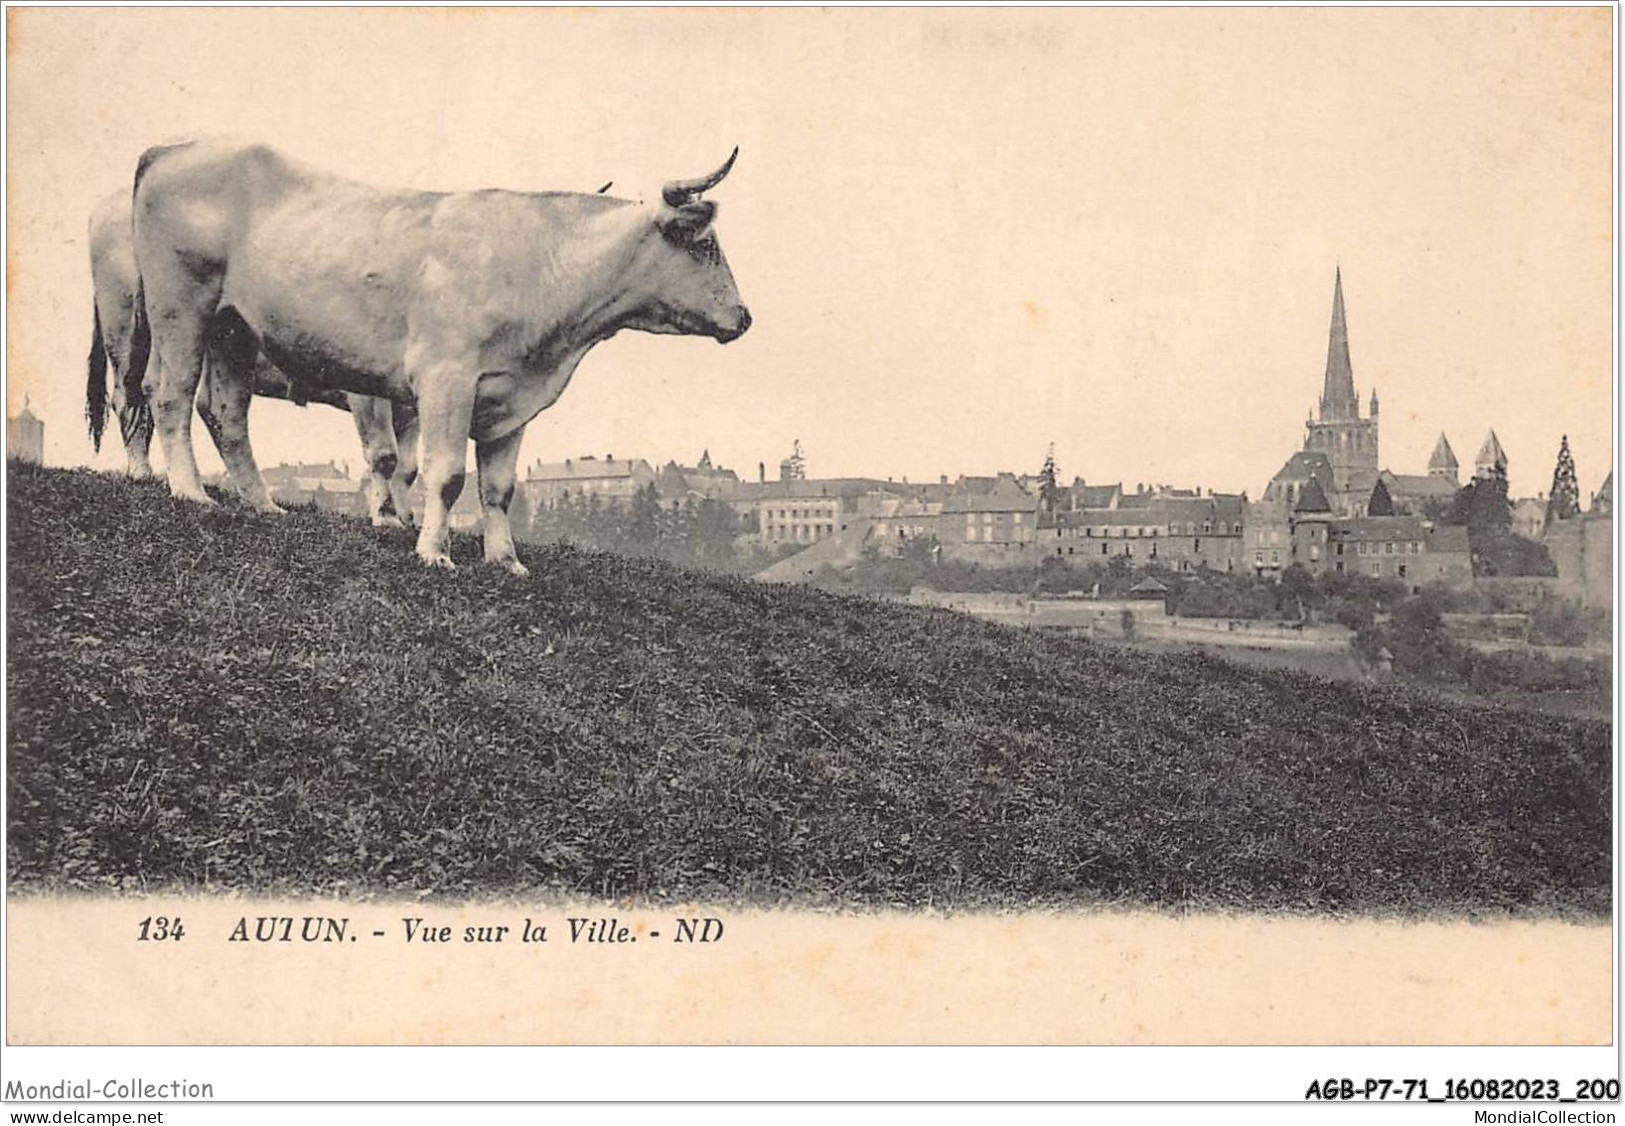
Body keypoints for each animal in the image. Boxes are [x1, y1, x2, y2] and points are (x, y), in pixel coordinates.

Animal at [126, 141, 747, 575]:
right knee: (171, 395)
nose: (744, 318)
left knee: (226, 414)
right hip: (181, 305)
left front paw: (506, 561)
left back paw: (262, 506)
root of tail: (174, 148)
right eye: (704, 245)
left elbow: (497, 488)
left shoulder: (510, 398)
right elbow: (445, 476)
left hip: (235, 329)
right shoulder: (447, 380)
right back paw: (190, 492)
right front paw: (433, 552)